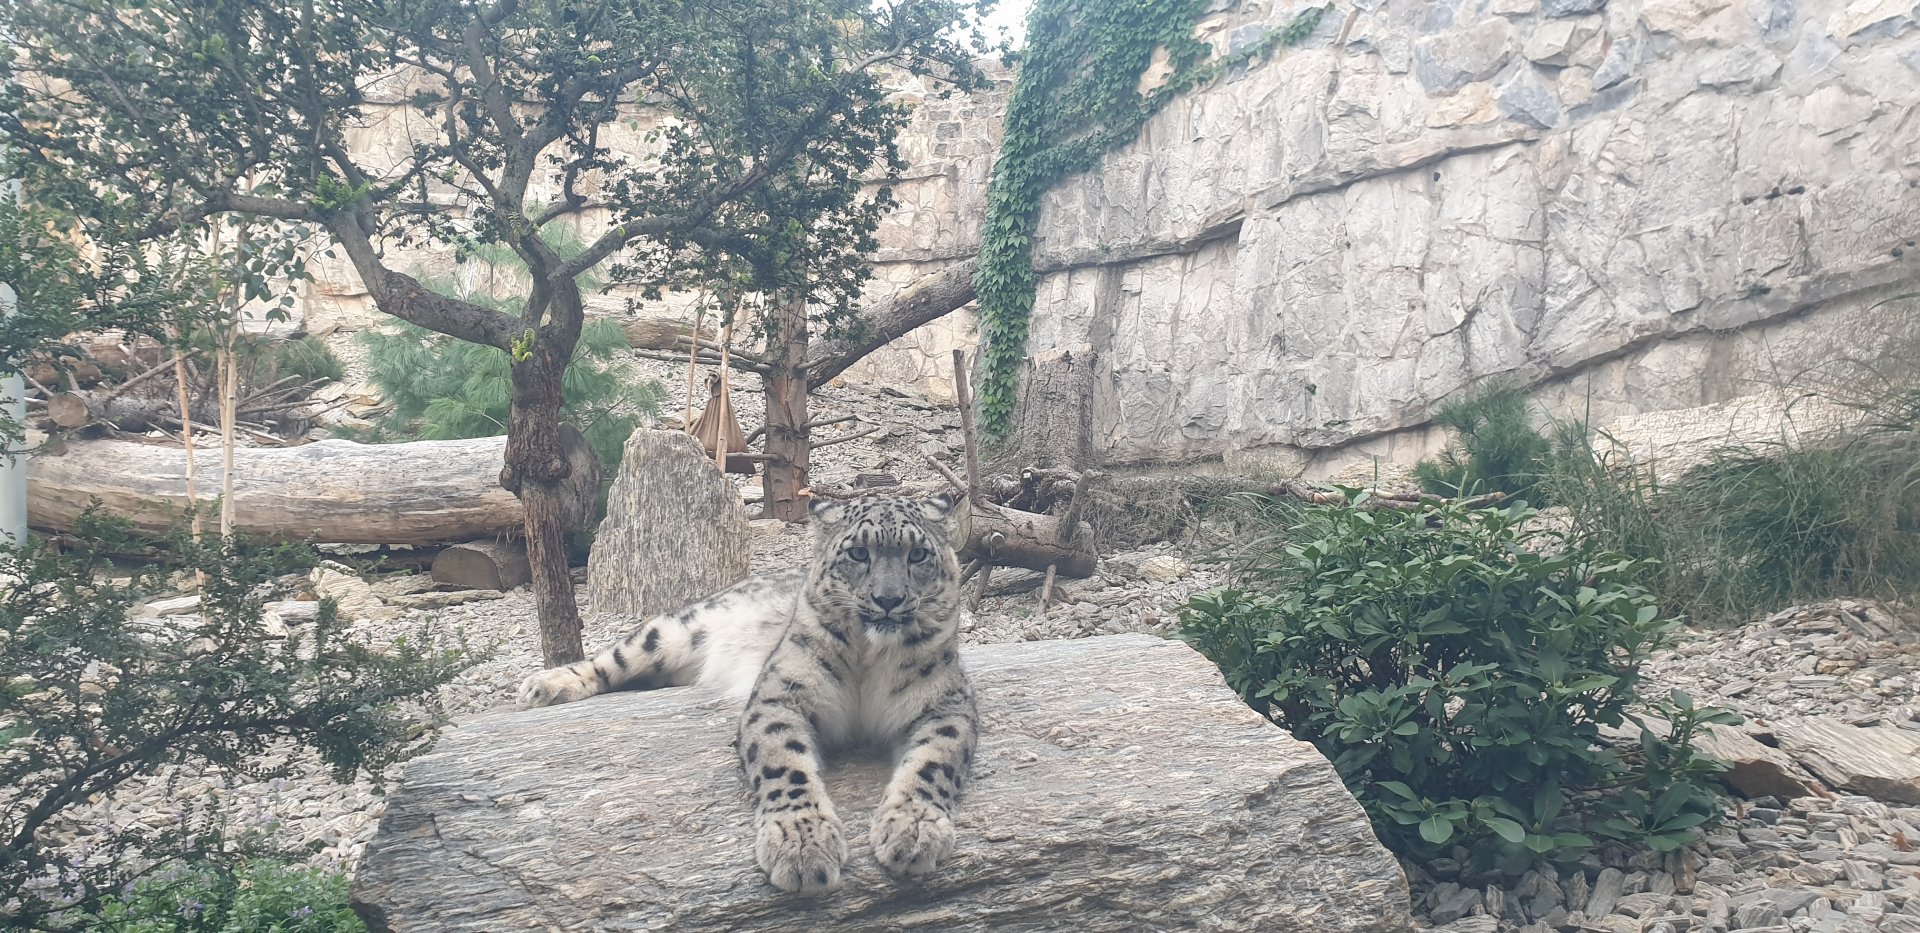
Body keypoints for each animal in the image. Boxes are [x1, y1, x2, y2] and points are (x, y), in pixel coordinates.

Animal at [516, 491, 977, 895]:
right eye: (858, 554)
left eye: (917, 555)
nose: (888, 599)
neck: (870, 660)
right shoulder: (779, 696)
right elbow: (784, 763)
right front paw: (802, 845)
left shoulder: (946, 705)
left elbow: (933, 762)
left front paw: (913, 829)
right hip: (666, 633)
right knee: (611, 659)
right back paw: (544, 686)